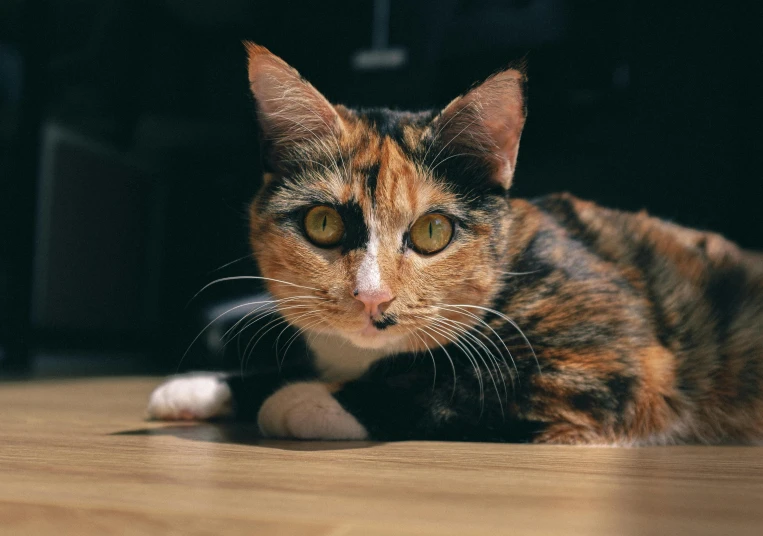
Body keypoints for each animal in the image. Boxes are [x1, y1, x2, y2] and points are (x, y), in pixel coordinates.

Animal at [146, 42, 760, 446]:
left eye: (432, 232)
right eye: (323, 223)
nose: (372, 297)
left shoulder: (614, 352)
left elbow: (463, 380)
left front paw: (303, 399)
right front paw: (199, 388)